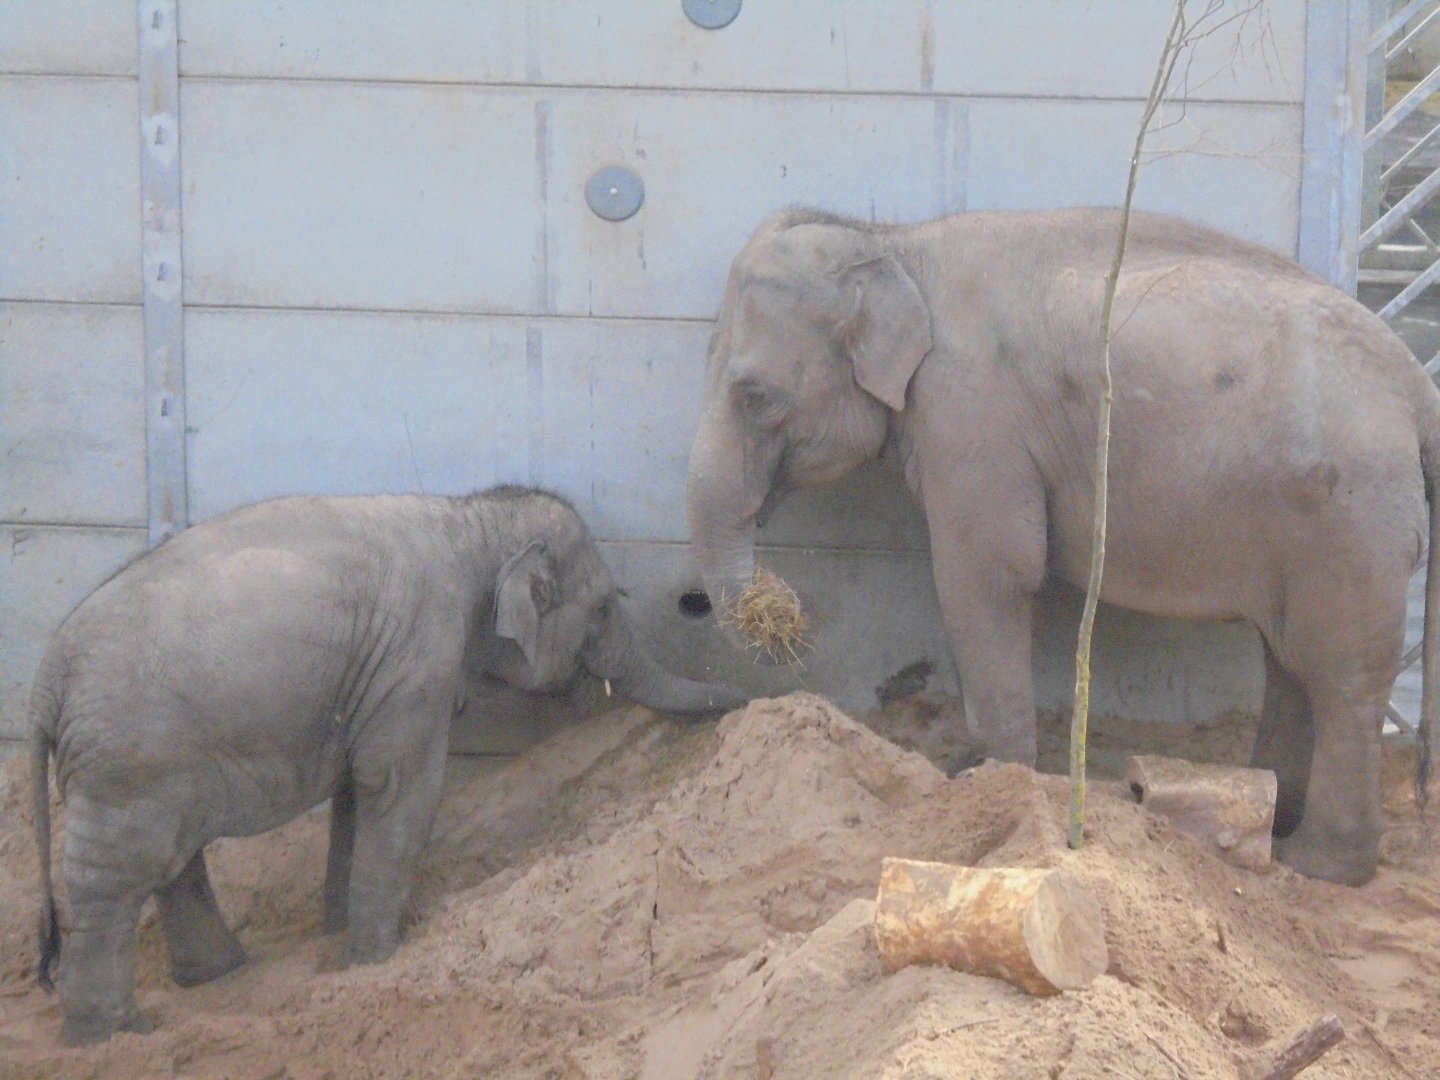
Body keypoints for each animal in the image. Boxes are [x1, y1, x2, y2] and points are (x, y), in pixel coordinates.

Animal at [30, 484, 745, 1045]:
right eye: (601, 608)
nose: (749, 696)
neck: (471, 518)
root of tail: (46, 683)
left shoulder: (375, 678)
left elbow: (358, 788)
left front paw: (338, 938)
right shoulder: (420, 656)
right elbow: (400, 785)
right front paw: (373, 959)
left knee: (171, 858)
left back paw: (216, 976)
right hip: (129, 761)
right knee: (114, 876)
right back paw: (114, 1035)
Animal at [686, 206, 1440, 888]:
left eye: (754, 395)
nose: (778, 618)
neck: (894, 243)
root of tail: (1418, 387)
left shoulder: (971, 415)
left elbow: (988, 574)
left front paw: (988, 780)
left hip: (1351, 522)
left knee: (1340, 677)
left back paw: (1322, 866)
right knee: (1290, 662)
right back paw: (1277, 816)